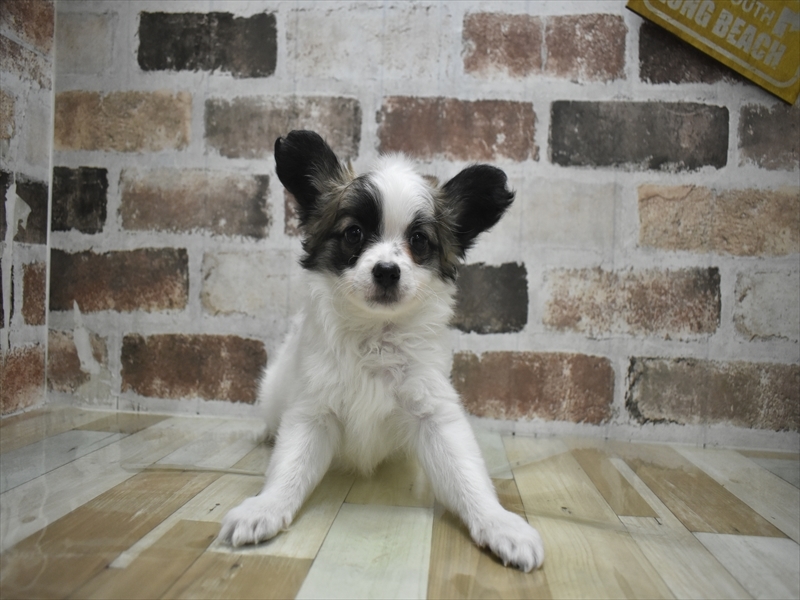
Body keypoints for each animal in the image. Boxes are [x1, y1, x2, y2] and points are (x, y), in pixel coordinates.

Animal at [218, 130, 544, 572]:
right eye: (354, 234)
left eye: (419, 241)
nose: (387, 271)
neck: (374, 335)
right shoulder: (312, 412)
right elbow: (290, 467)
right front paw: (263, 508)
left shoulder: (433, 413)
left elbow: (466, 474)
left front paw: (500, 524)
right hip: (272, 392)